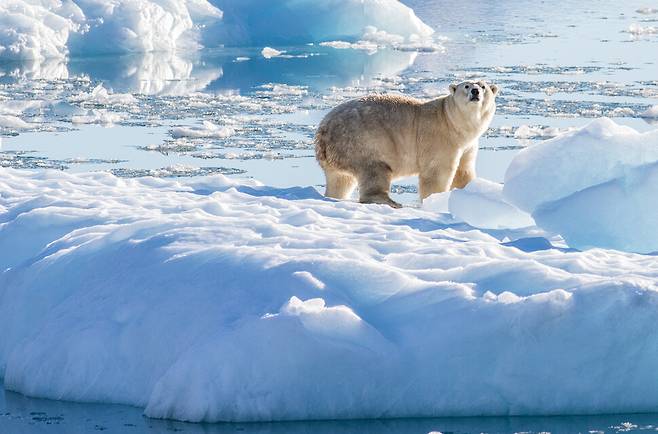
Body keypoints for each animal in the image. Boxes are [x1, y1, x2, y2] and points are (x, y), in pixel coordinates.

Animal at [314, 80, 498, 208]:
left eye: (483, 86)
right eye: (466, 86)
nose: (475, 91)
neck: (452, 121)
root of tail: (323, 130)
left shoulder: (468, 145)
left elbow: (463, 172)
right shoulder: (440, 138)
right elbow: (436, 173)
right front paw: (435, 200)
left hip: (339, 153)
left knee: (340, 180)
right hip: (362, 140)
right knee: (375, 170)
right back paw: (391, 202)